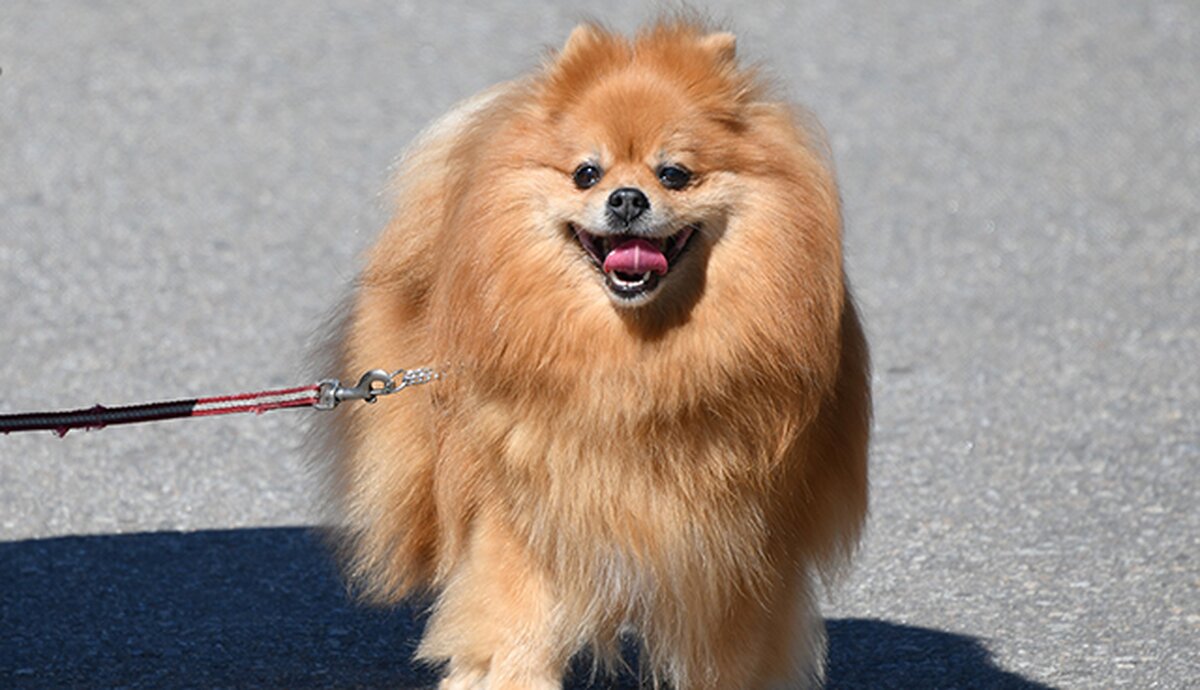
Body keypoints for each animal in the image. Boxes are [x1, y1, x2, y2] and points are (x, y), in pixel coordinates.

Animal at [314, 18, 868, 686]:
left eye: (674, 174)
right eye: (586, 173)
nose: (627, 198)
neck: (632, 362)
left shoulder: (736, 555)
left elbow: (732, 659)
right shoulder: (527, 523)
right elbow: (517, 635)